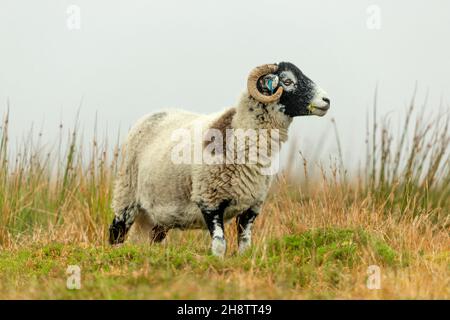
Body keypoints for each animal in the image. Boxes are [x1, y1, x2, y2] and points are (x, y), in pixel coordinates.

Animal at [107, 62, 328, 258]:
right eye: (288, 81)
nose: (327, 100)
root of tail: (151, 115)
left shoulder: (252, 206)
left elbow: (245, 245)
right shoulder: (209, 200)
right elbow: (220, 244)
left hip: (159, 214)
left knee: (153, 239)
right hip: (126, 196)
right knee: (116, 233)